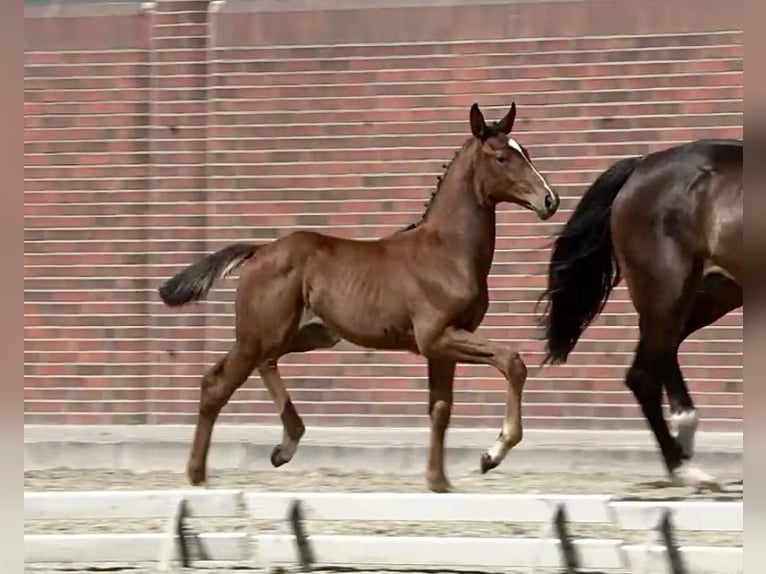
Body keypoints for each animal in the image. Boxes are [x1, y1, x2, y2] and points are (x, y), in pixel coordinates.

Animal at [158, 102, 560, 493]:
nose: (549, 200)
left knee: (254, 365)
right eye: (501, 157)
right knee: (218, 384)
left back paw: (285, 445)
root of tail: (261, 250)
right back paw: (198, 474)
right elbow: (512, 362)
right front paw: (491, 456)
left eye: (526, 152)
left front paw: (439, 482)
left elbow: (441, 409)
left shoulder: (442, 346)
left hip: (306, 334)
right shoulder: (437, 337)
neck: (447, 252)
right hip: (261, 335)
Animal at [537, 138, 742, 489]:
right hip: (671, 289)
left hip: (714, 290)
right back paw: (682, 467)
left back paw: (683, 438)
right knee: (644, 374)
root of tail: (642, 164)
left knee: (662, 349)